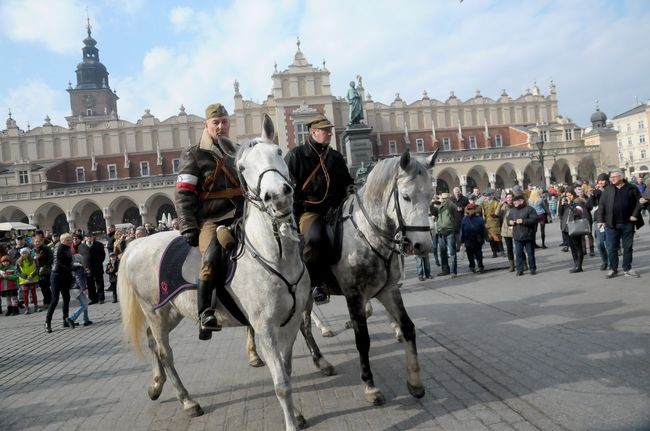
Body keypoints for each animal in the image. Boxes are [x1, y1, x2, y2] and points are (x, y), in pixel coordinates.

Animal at [119, 115, 312, 431]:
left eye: (279, 152)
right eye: (243, 167)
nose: (278, 197)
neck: (277, 256)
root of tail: (138, 243)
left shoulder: (291, 322)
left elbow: (288, 369)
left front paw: (296, 414)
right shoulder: (265, 328)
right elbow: (281, 383)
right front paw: (291, 422)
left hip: (169, 312)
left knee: (151, 341)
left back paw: (156, 384)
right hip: (154, 312)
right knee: (164, 351)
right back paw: (187, 400)